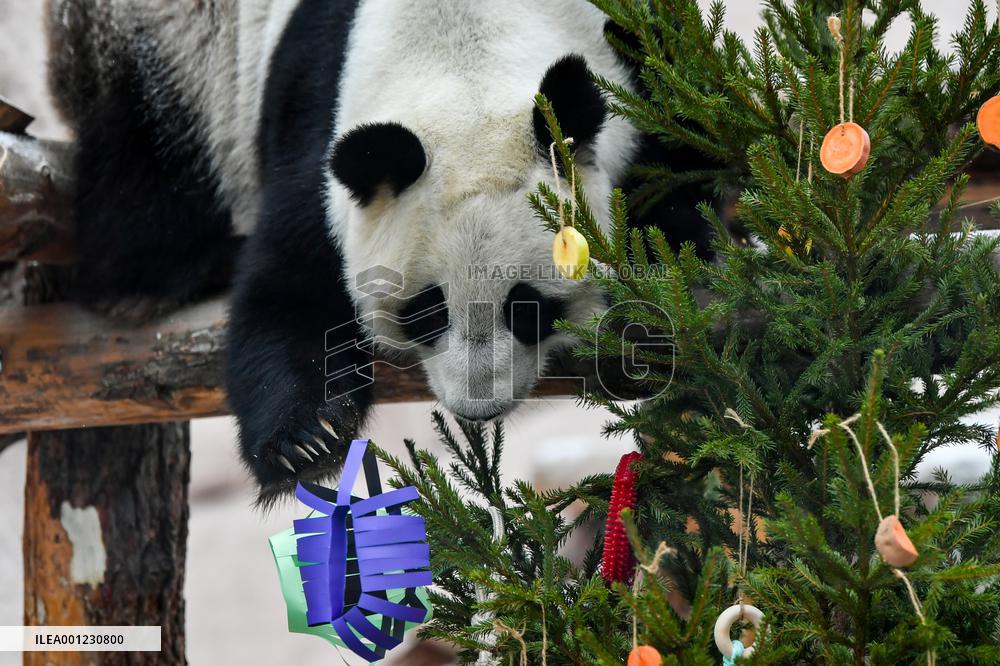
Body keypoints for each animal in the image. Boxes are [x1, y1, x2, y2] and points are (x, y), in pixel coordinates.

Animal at [46, 0, 710, 501]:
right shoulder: (318, 123)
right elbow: (287, 285)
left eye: (528, 307)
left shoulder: (636, 55)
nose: (480, 406)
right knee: (145, 163)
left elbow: (685, 169)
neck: (465, 51)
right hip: (163, 50)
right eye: (427, 309)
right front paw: (304, 442)